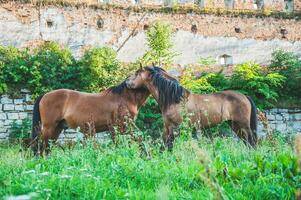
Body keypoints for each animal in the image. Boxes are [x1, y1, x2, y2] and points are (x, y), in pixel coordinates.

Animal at [125, 66, 256, 149]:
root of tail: (245, 96)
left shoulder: (175, 128)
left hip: (243, 125)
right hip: (235, 125)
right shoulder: (167, 127)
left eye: (137, 73)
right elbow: (165, 146)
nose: (126, 82)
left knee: (251, 141)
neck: (175, 99)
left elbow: (170, 146)